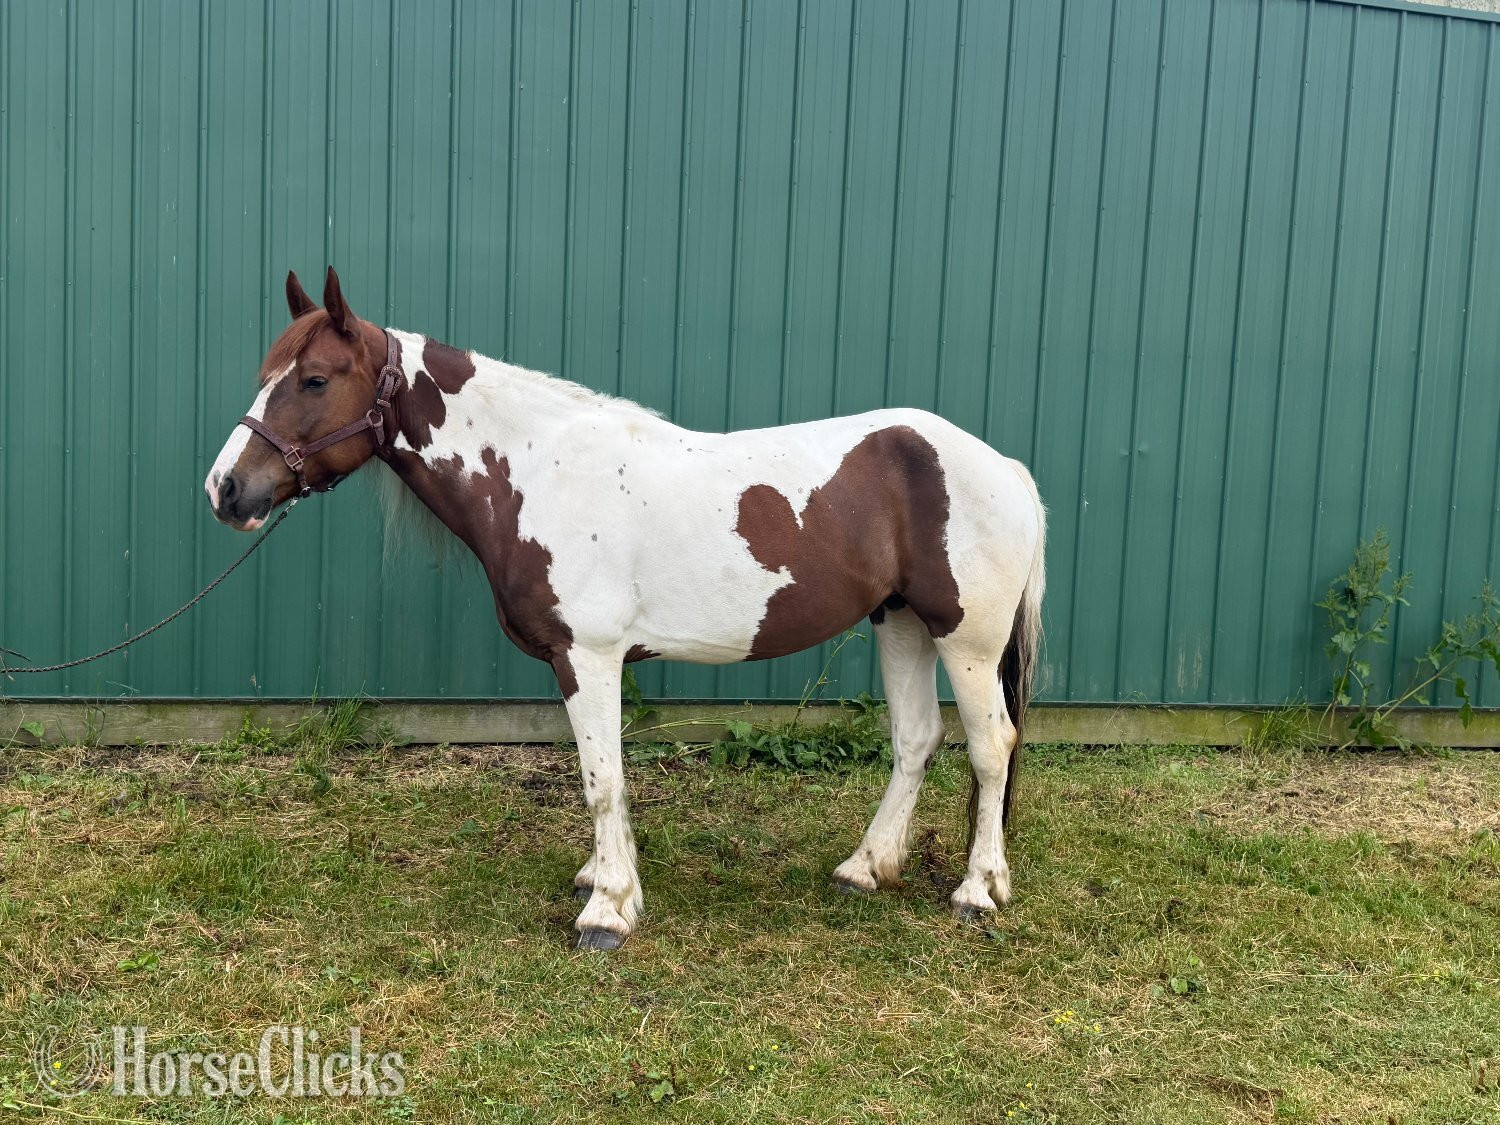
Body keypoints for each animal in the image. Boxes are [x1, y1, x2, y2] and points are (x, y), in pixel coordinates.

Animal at [206, 267, 1047, 950]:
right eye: (266, 374)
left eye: (316, 379)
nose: (227, 489)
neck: (538, 470)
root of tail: (1004, 466)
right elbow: (599, 771)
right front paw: (602, 875)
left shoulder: (589, 655)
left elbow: (601, 777)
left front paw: (607, 910)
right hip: (901, 622)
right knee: (915, 740)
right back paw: (864, 867)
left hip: (966, 641)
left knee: (991, 746)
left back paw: (977, 890)